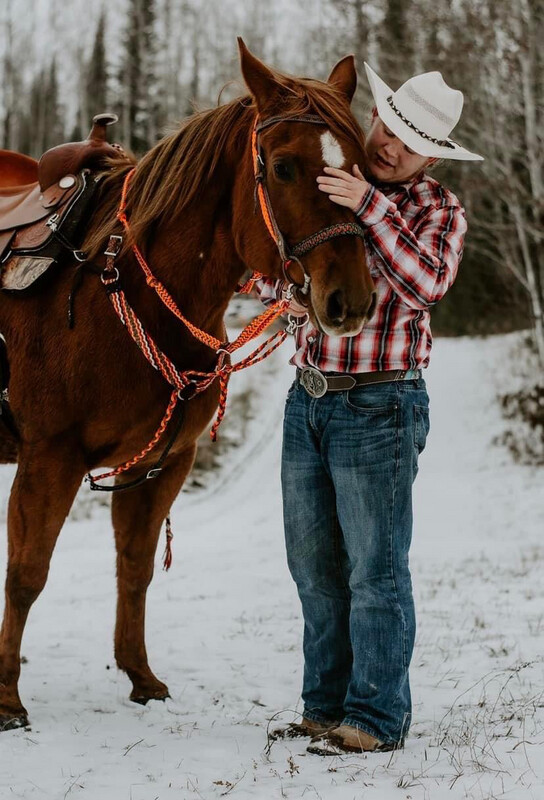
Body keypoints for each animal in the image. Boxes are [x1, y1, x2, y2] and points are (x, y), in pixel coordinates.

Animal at [0, 39, 376, 732]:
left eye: (363, 169)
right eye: (283, 167)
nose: (351, 300)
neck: (123, 290)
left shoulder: (162, 463)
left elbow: (135, 566)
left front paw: (140, 677)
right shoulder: (49, 457)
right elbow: (28, 572)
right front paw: (7, 698)